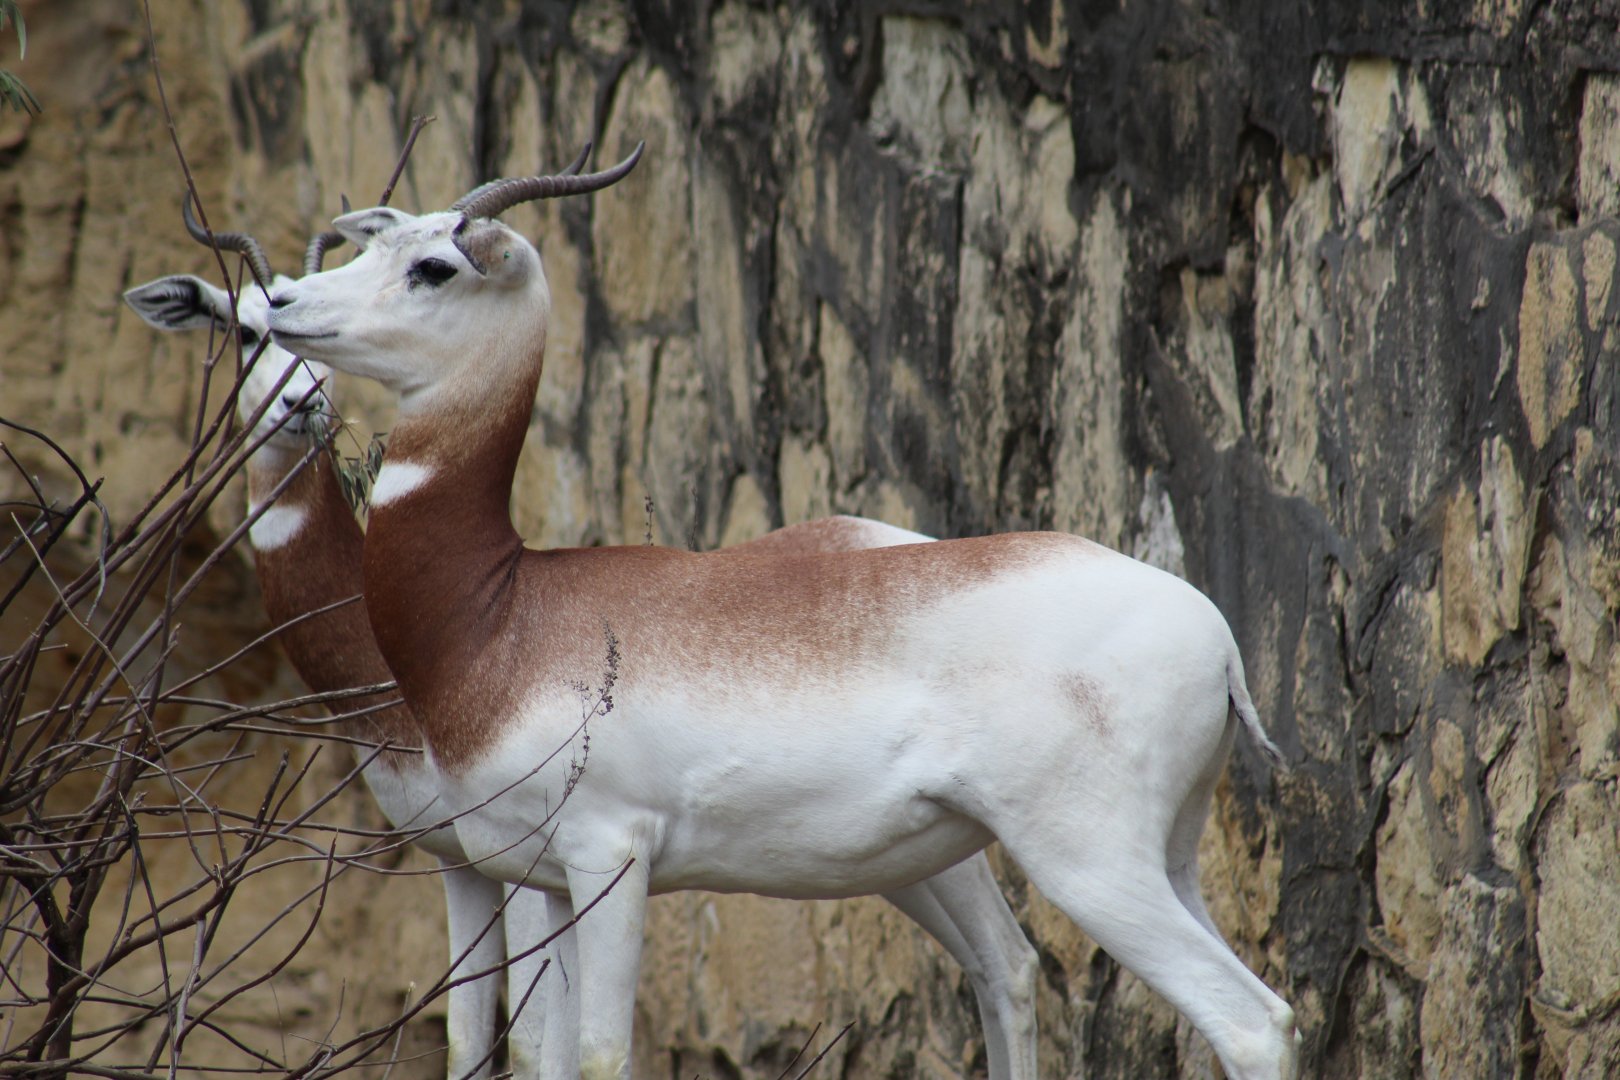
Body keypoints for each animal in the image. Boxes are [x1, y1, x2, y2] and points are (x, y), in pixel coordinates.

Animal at [127, 202, 1043, 1076]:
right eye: (240, 327)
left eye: (279, 318)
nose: (304, 402)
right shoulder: (461, 864)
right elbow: (470, 1041)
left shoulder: (549, 869)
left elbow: (540, 1048)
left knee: (1009, 961)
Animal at [265, 148, 1300, 1080]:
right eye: (376, 243)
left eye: (433, 266)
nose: (281, 300)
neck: (504, 611)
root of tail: (1216, 640)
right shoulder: (542, 877)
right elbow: (537, 1057)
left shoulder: (610, 857)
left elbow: (598, 1055)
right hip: (1162, 859)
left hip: (1087, 862)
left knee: (1251, 1023)